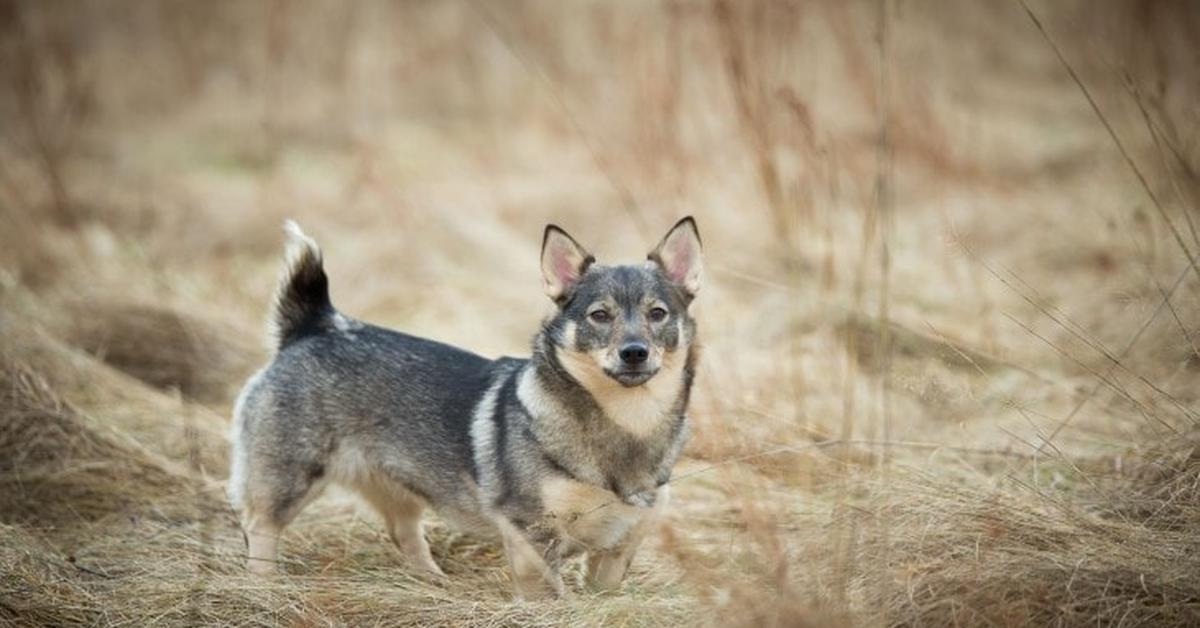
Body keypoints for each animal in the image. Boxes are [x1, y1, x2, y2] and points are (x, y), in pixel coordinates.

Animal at [225, 218, 700, 597]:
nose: (634, 352)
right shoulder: (531, 534)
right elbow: (548, 595)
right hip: (288, 478)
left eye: (658, 313)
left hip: (396, 489)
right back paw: (263, 587)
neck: (626, 423)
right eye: (600, 316)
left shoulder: (617, 551)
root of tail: (315, 326)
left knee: (405, 535)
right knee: (259, 528)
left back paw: (433, 582)